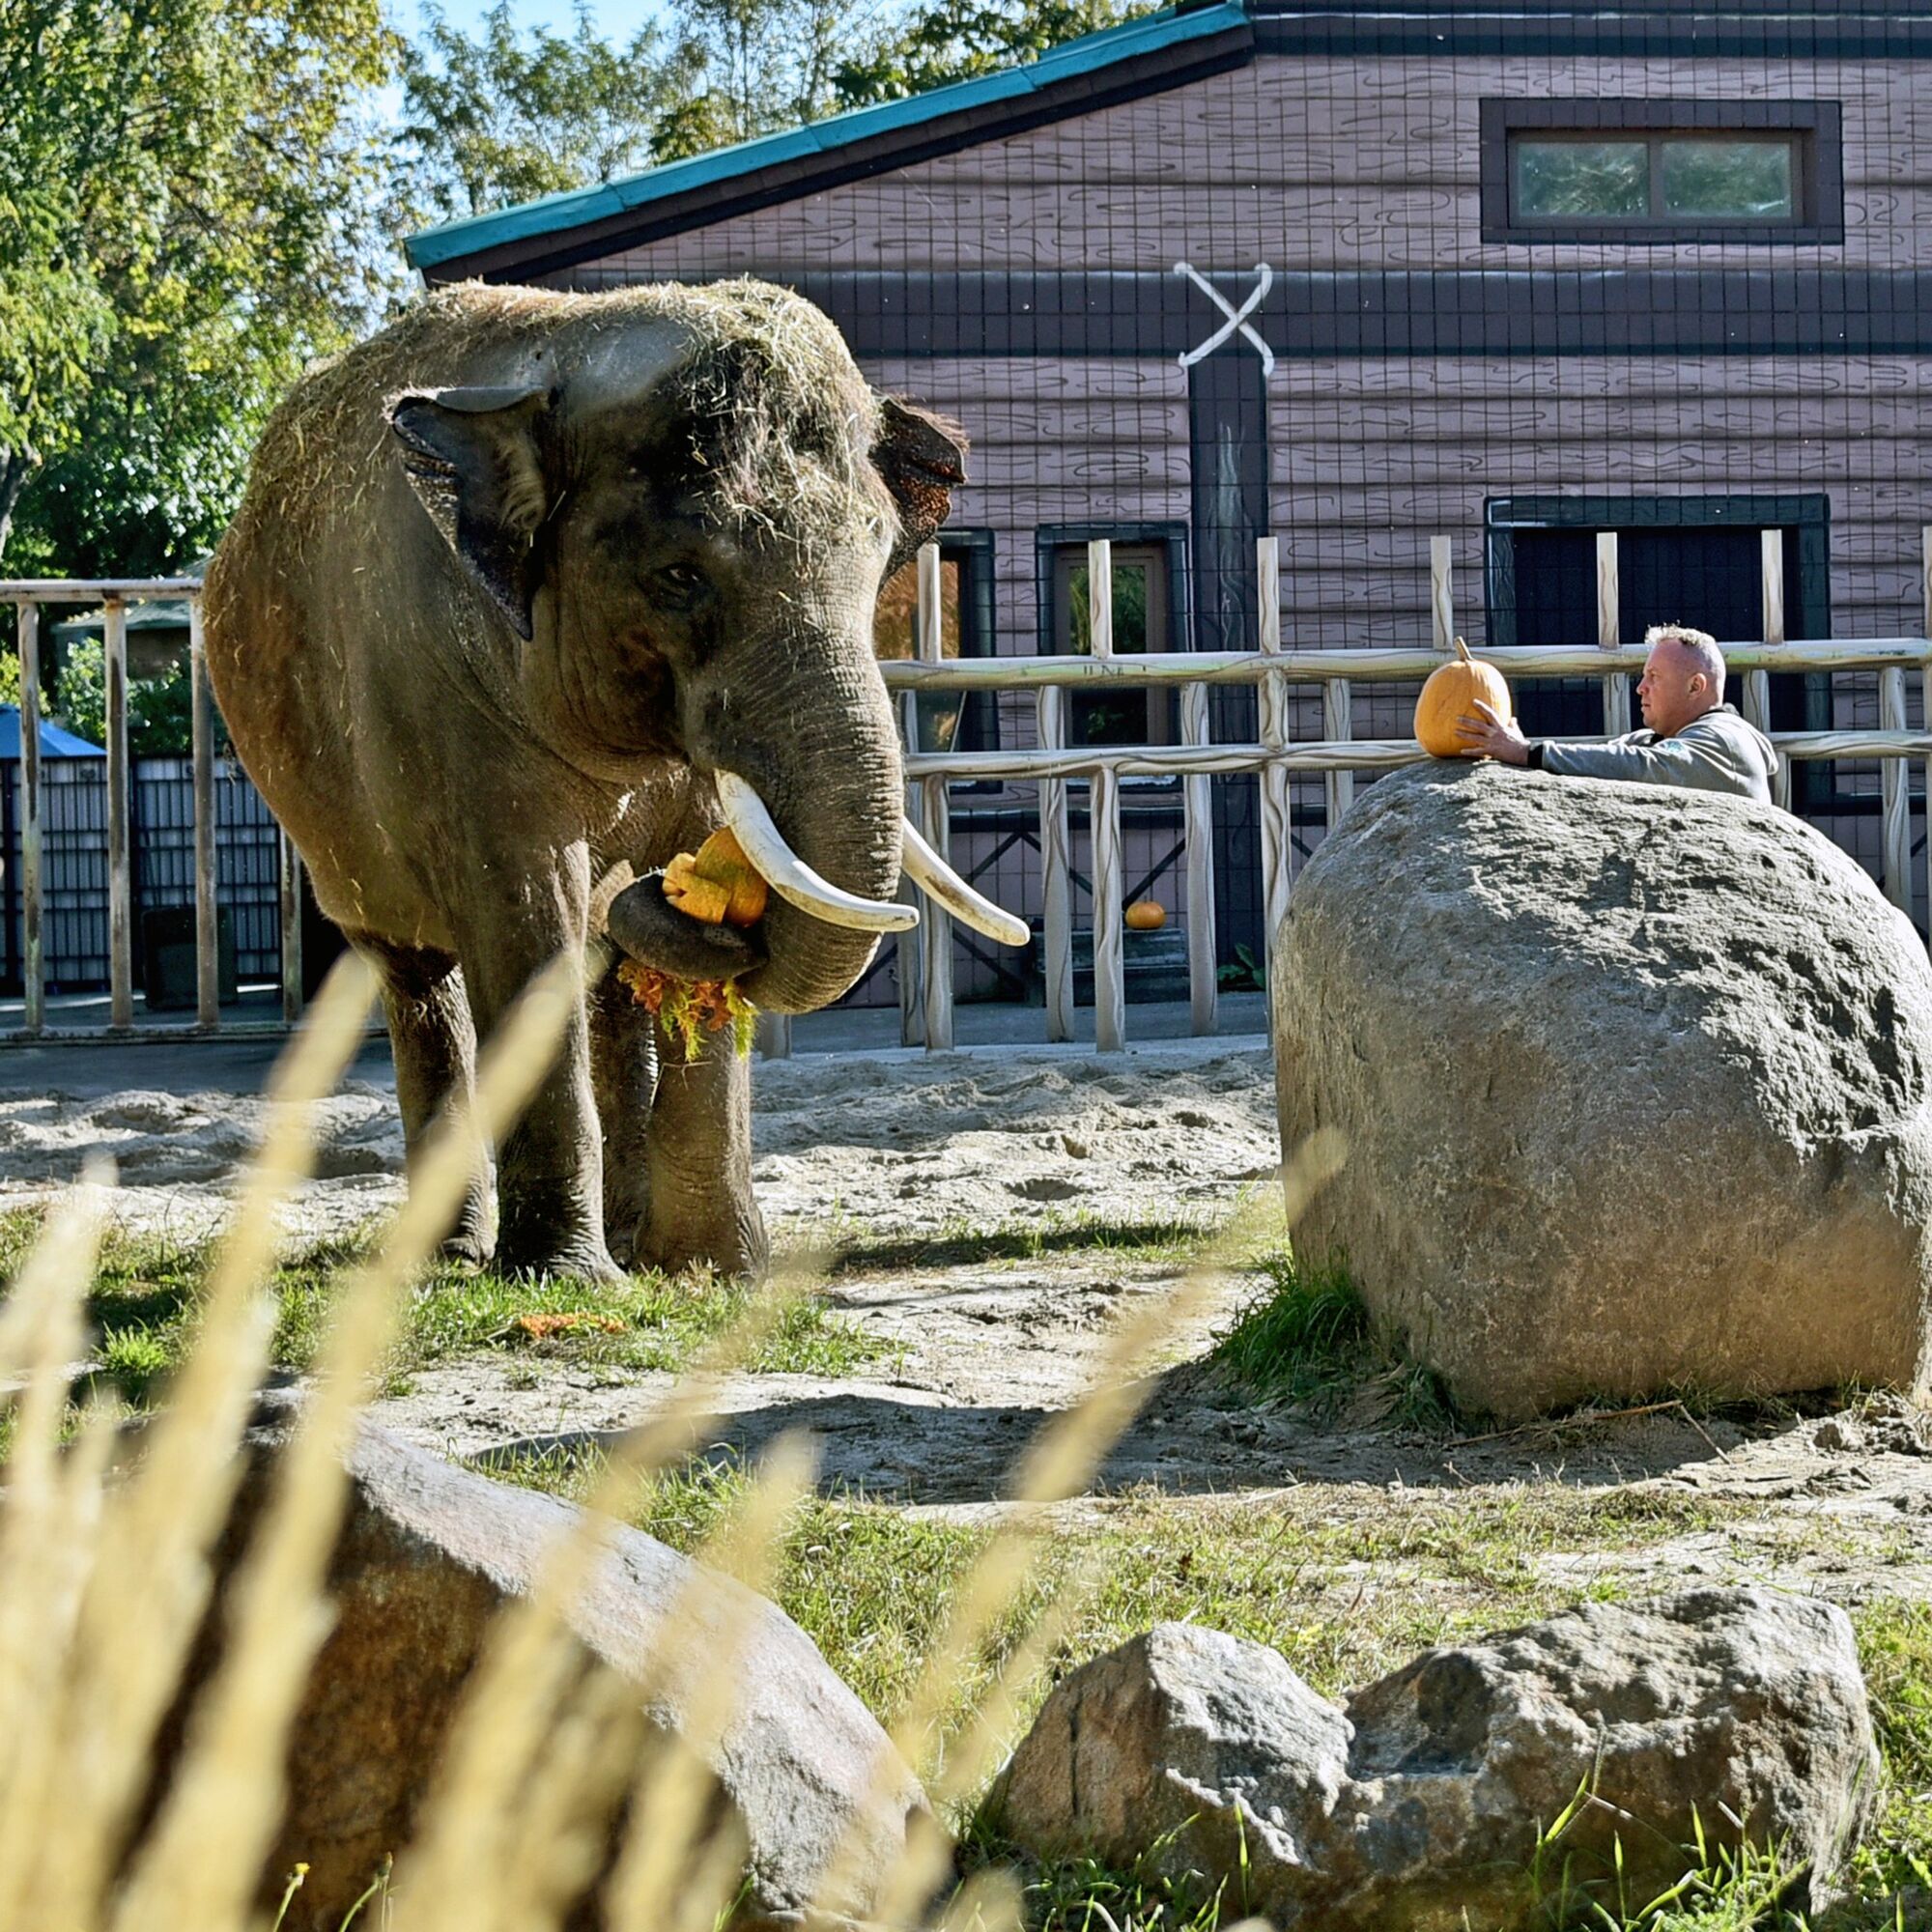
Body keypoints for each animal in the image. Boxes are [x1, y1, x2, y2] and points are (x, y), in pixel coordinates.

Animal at [206, 280, 1028, 1283]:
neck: (568, 355)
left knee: (603, 985)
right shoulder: (440, 691)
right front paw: (565, 1278)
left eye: (878, 565)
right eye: (678, 576)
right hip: (335, 834)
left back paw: (631, 1245)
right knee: (421, 982)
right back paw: (454, 1258)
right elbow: (526, 915)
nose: (649, 887)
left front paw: (717, 1272)